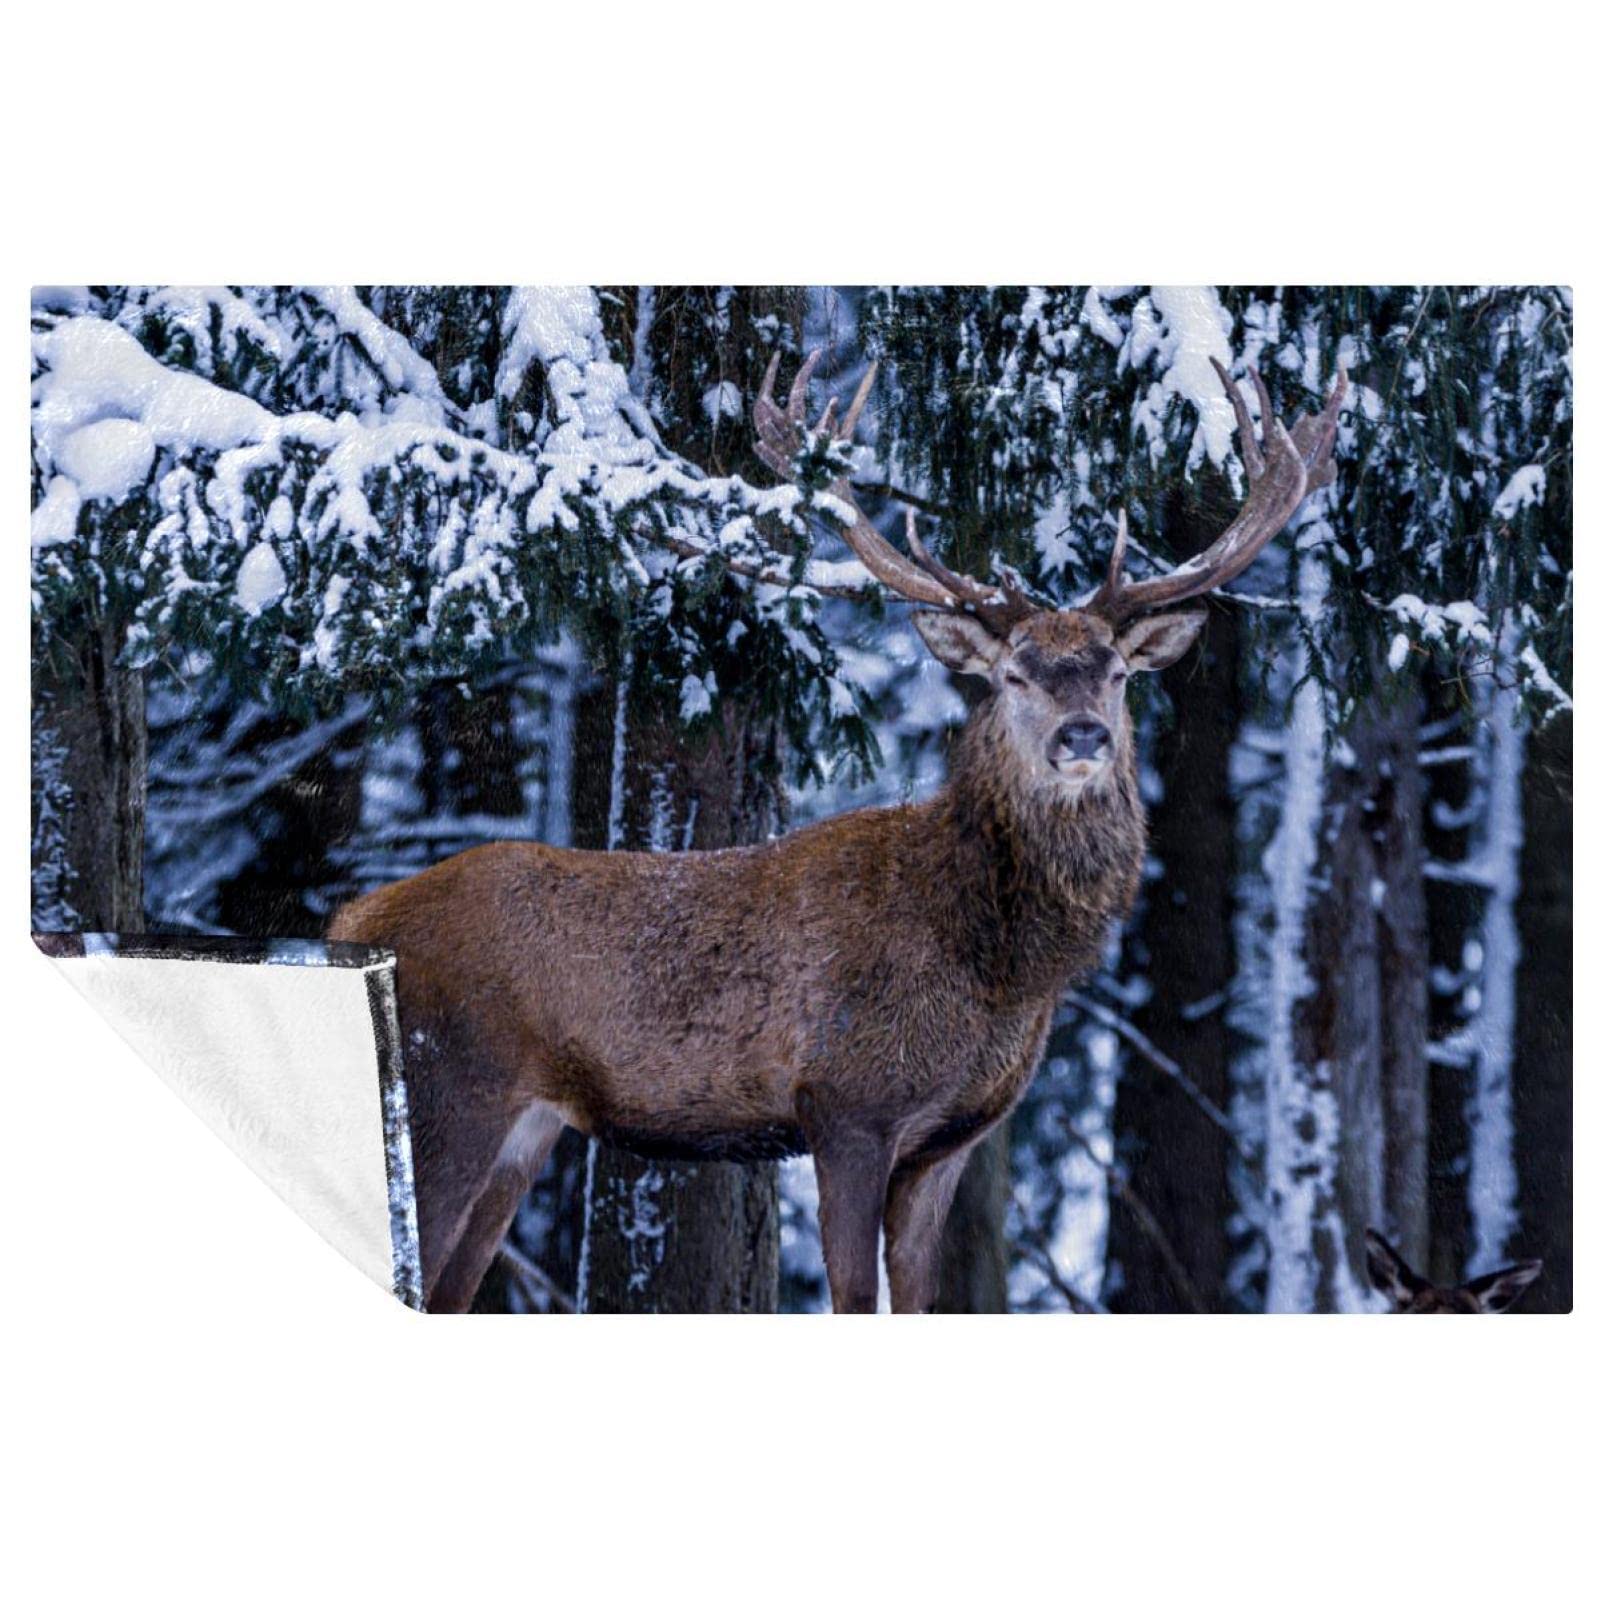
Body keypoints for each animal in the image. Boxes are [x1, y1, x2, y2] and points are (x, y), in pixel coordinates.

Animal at [329, 346, 1347, 1313]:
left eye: (1117, 674)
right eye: (1013, 673)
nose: (1083, 735)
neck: (997, 964)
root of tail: (348, 924)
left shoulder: (948, 1140)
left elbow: (922, 1299)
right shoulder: (846, 1101)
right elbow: (854, 1297)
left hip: (523, 1127)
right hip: (448, 1088)